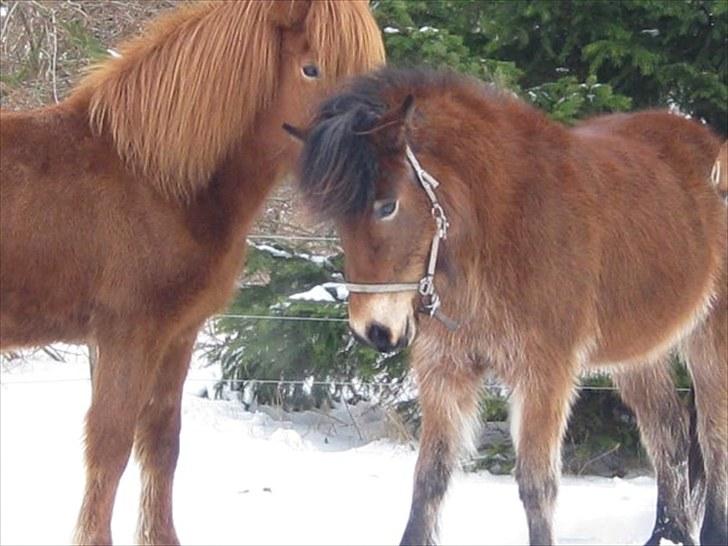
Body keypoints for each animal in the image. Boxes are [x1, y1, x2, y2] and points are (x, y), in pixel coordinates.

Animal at [0, 2, 384, 540]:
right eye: (311, 69)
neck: (153, 180)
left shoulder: (178, 335)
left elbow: (161, 441)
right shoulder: (126, 337)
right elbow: (109, 444)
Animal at [290, 68, 728, 544]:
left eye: (387, 205)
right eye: (338, 217)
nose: (373, 330)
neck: (501, 228)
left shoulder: (544, 374)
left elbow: (537, 485)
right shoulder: (444, 370)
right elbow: (429, 478)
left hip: (709, 341)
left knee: (712, 437)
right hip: (638, 355)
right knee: (669, 432)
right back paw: (670, 533)